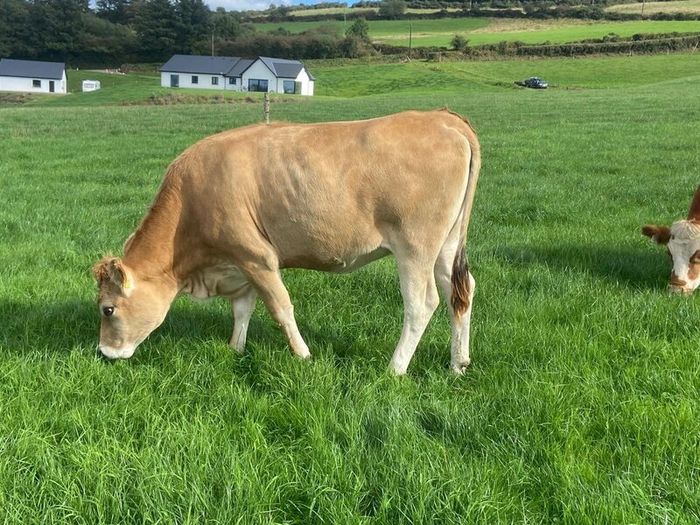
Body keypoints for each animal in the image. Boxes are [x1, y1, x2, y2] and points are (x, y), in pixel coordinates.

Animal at [92, 109, 481, 375]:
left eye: (107, 309)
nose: (103, 353)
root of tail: (442, 117)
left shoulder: (257, 256)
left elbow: (280, 308)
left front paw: (304, 355)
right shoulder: (240, 261)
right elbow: (242, 308)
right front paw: (235, 349)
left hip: (415, 246)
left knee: (422, 303)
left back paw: (395, 369)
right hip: (447, 245)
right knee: (458, 292)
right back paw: (457, 364)